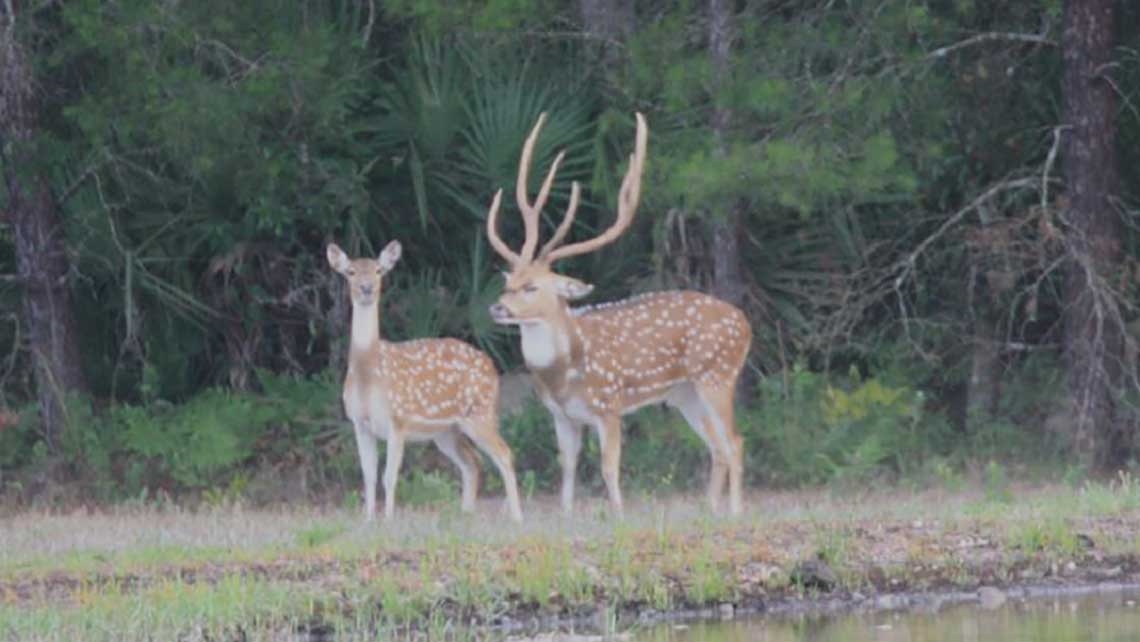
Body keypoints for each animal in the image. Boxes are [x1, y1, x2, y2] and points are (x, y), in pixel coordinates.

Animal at [327, 239, 523, 522]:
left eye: (378, 270)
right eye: (350, 272)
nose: (367, 288)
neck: (368, 375)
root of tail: (491, 365)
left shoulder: (398, 420)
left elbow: (389, 477)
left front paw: (388, 520)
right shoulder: (359, 424)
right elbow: (368, 476)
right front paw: (368, 521)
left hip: (480, 412)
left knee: (504, 454)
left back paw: (517, 517)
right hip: (446, 431)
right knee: (472, 462)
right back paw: (465, 515)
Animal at [484, 112, 752, 517]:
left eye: (532, 287)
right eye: (508, 282)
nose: (498, 307)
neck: (563, 373)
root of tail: (746, 324)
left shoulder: (609, 406)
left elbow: (610, 467)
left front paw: (619, 516)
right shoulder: (560, 415)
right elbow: (567, 467)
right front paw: (566, 516)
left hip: (718, 374)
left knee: (735, 441)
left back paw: (734, 512)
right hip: (684, 393)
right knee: (717, 445)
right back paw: (709, 509)